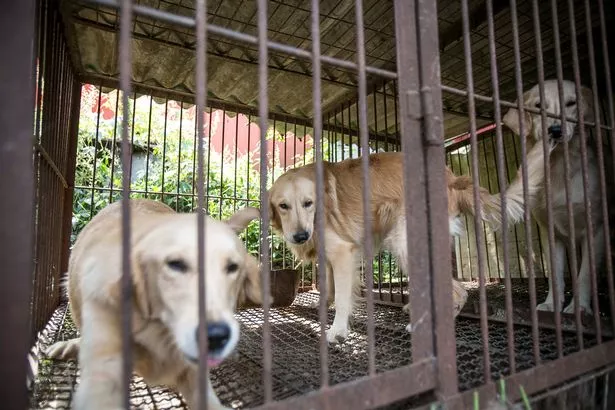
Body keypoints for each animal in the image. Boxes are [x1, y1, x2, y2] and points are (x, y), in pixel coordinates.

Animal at [268, 151, 502, 342]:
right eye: (283, 206)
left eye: (308, 203)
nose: (301, 236)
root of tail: (452, 178)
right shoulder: (327, 257)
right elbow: (329, 289)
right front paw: (322, 307)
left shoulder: (343, 253)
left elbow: (343, 298)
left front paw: (337, 331)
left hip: (403, 244)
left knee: (460, 292)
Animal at [502, 78, 612, 316]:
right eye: (538, 106)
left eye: (571, 103)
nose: (555, 130)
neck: (558, 168)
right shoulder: (549, 230)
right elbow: (555, 273)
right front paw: (552, 303)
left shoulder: (596, 228)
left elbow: (585, 274)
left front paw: (580, 307)